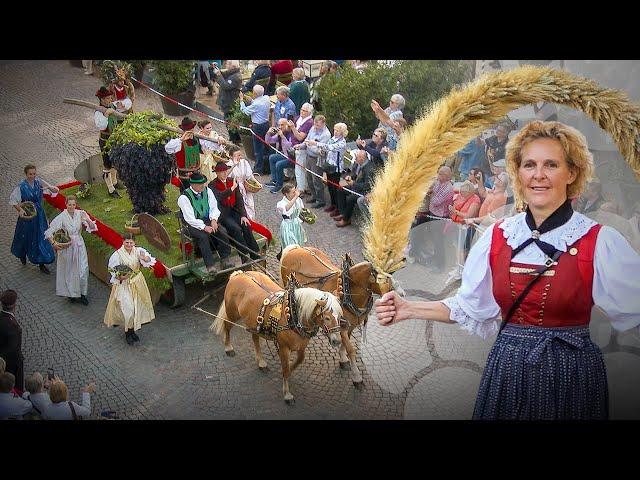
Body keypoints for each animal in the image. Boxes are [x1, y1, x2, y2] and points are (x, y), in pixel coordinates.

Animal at [210, 272, 342, 404]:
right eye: (327, 318)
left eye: (340, 316)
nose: (337, 341)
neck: (293, 315)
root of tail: (238, 274)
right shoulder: (283, 348)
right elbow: (285, 368)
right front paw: (287, 394)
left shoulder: (301, 345)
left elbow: (299, 360)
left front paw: (289, 371)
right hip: (232, 314)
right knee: (226, 325)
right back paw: (228, 348)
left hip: (253, 322)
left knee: (255, 338)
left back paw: (261, 362)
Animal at [280, 246, 396, 388]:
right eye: (382, 278)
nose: (394, 296)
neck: (347, 291)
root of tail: (295, 248)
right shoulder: (341, 327)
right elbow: (351, 350)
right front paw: (357, 377)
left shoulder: (350, 325)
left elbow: (346, 344)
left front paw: (343, 358)